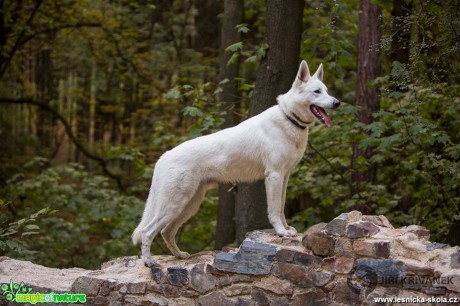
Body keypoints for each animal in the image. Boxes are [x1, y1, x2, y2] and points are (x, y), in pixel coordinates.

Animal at [131, 59, 340, 266]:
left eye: (327, 90)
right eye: (317, 91)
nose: (337, 102)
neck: (289, 118)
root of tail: (163, 157)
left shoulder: (285, 177)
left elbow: (280, 208)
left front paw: (287, 229)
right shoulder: (274, 176)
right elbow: (274, 210)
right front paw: (281, 232)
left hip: (189, 205)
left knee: (166, 232)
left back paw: (180, 256)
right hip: (174, 204)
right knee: (147, 231)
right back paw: (148, 261)